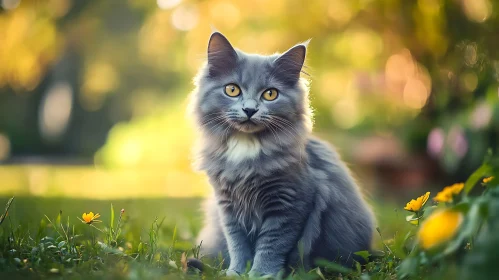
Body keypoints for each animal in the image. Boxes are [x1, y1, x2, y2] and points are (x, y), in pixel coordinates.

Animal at [190, 31, 376, 276]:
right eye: (232, 90)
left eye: (270, 94)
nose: (250, 109)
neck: (246, 150)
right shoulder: (227, 206)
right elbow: (237, 244)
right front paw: (236, 273)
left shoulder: (289, 205)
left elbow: (271, 246)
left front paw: (260, 275)